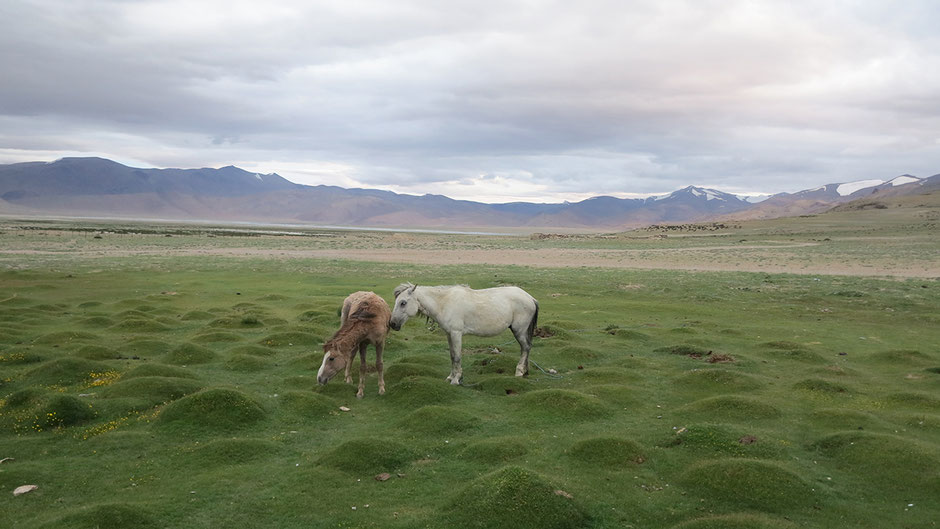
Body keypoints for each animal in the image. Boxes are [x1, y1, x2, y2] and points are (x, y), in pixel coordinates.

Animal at [388, 284, 536, 384]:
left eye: (403, 303)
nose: (392, 324)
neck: (444, 303)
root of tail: (531, 298)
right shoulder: (449, 334)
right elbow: (452, 356)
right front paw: (451, 377)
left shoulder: (456, 333)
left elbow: (458, 357)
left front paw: (456, 379)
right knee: (527, 348)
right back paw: (525, 371)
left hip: (519, 331)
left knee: (525, 348)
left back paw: (519, 371)